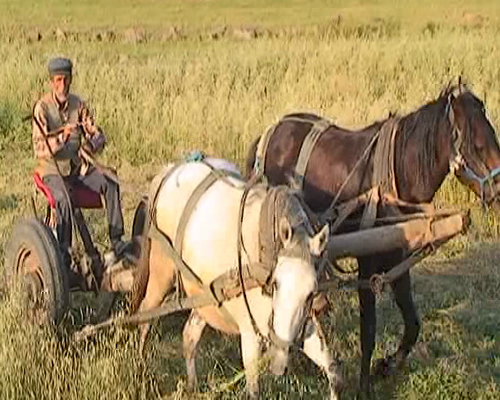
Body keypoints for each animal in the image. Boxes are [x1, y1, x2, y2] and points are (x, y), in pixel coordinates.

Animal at [131, 158, 342, 398]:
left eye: (311, 292)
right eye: (276, 284)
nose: (279, 362)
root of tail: (171, 170)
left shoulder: (300, 326)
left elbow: (333, 371)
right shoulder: (250, 333)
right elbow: (253, 389)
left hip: (204, 294)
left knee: (189, 335)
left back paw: (192, 385)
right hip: (161, 271)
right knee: (146, 317)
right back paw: (140, 373)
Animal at [244, 82, 500, 396]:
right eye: (478, 145)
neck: (396, 176)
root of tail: (269, 134)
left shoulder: (398, 259)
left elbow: (412, 324)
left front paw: (386, 366)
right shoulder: (367, 264)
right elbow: (369, 329)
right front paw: (364, 386)